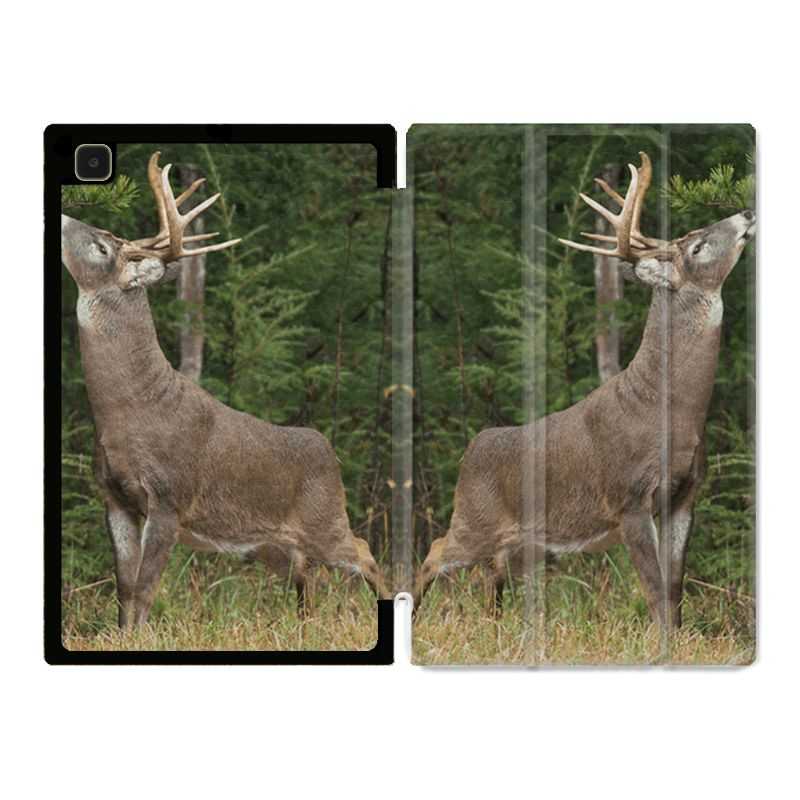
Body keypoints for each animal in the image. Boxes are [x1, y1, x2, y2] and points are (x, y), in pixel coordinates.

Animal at [61, 152, 389, 628]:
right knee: (309, 577)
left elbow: (144, 589)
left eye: (102, 246)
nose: (62, 216)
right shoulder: (114, 497)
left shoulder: (169, 498)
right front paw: (122, 636)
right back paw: (303, 625)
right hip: (272, 544)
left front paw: (140, 636)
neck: (128, 410)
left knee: (365, 553)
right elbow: (123, 589)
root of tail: (331, 453)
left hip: (325, 517)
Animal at [413, 152, 755, 629]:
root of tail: (471, 450)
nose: (746, 213)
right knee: (435, 551)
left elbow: (675, 589)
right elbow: (654, 591)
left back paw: (496, 626)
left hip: (528, 543)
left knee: (492, 573)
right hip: (474, 517)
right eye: (696, 247)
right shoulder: (629, 498)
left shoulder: (686, 494)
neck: (671, 410)